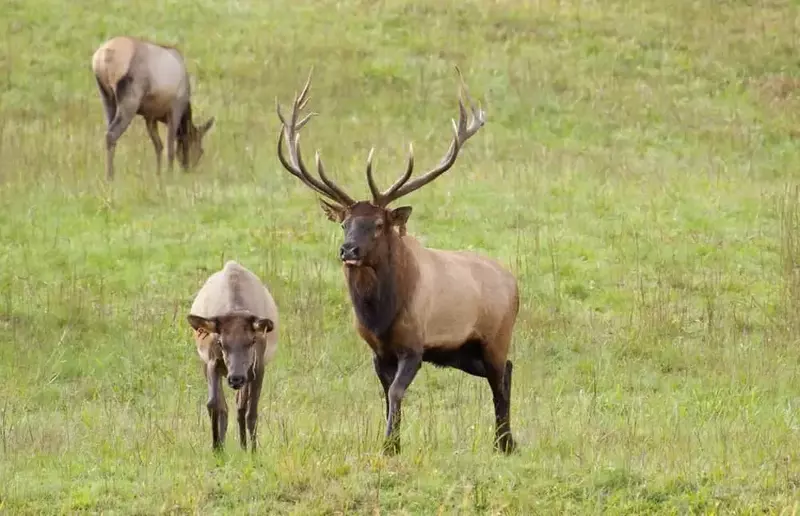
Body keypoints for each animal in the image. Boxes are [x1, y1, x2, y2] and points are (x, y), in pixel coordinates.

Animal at [90, 36, 214, 181]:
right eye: (201, 151)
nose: (188, 170)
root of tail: (104, 56)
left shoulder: (150, 117)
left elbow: (158, 145)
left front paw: (158, 174)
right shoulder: (175, 109)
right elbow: (170, 147)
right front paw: (169, 175)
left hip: (106, 97)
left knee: (108, 131)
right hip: (130, 100)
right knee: (111, 134)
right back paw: (110, 177)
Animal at [187, 260, 280, 450]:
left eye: (252, 340)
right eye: (220, 342)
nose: (235, 378)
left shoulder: (258, 366)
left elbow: (251, 412)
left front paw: (253, 451)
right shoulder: (212, 361)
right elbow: (213, 403)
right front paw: (217, 448)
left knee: (241, 407)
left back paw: (244, 446)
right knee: (231, 405)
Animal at [276, 69, 520, 456]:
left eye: (378, 224)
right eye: (344, 223)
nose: (348, 250)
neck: (379, 316)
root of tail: (514, 283)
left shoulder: (414, 345)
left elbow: (395, 392)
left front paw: (389, 445)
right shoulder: (379, 351)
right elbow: (386, 395)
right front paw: (393, 442)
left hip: (496, 336)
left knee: (501, 377)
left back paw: (504, 443)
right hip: (460, 353)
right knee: (506, 372)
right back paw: (506, 440)